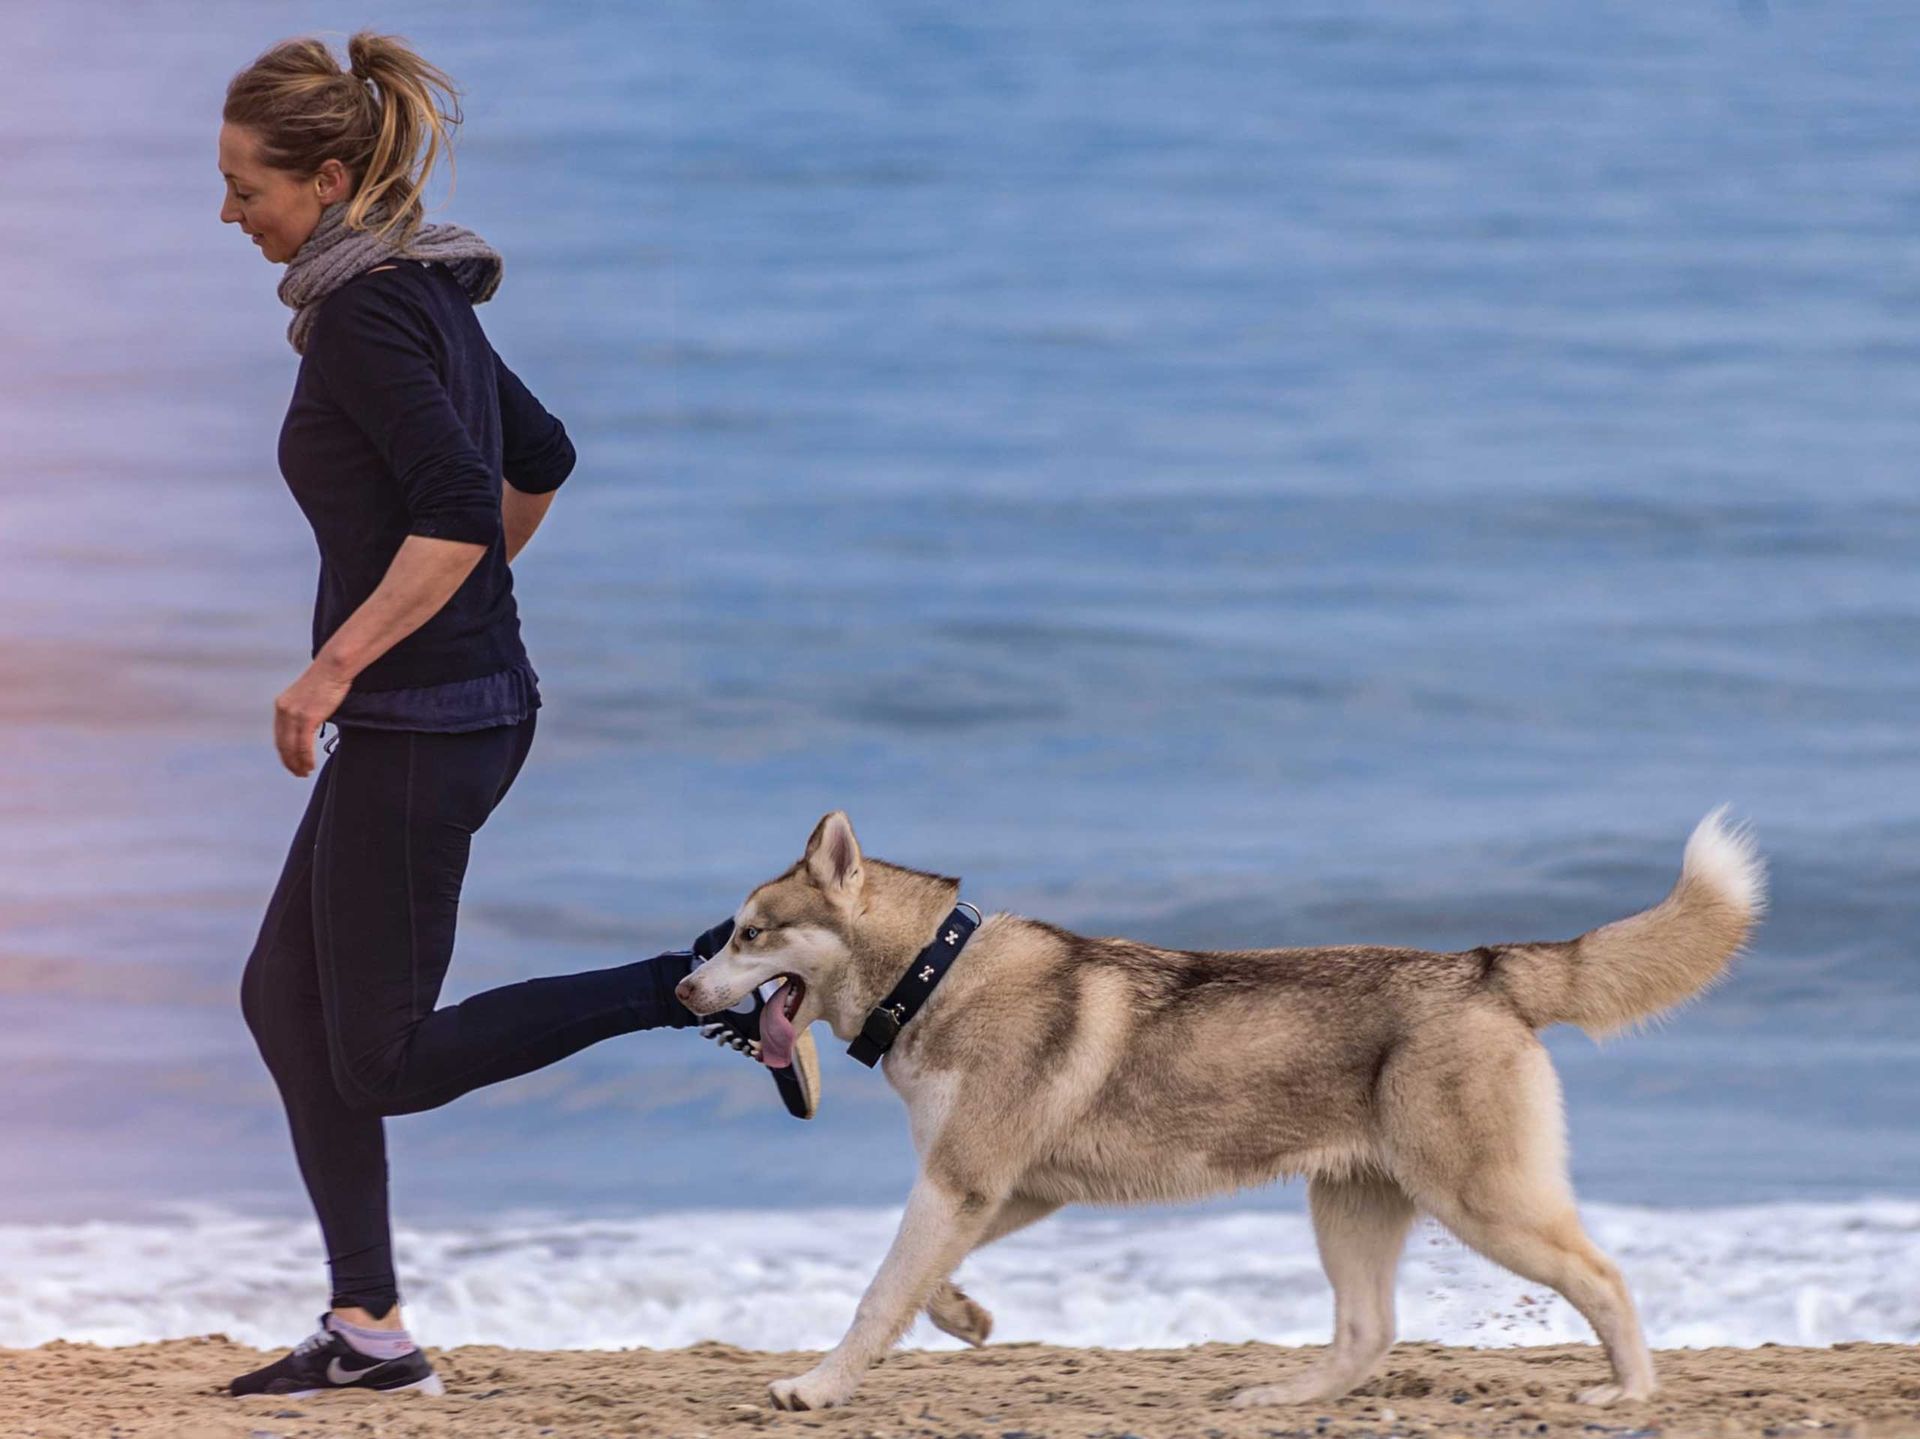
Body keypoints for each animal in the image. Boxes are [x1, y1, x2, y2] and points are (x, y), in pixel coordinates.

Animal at [679, 806, 1766, 1414]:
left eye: (749, 934)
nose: (685, 993)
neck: (933, 973)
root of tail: (1484, 964)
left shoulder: (964, 1178)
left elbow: (875, 1293)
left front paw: (816, 1386)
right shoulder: (999, 1187)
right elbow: (920, 1280)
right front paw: (962, 1313)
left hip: (1484, 1201)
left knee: (1604, 1276)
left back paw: (1629, 1390)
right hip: (1352, 1204)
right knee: (1368, 1330)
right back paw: (1282, 1394)